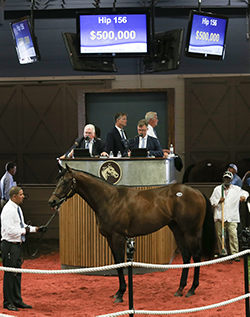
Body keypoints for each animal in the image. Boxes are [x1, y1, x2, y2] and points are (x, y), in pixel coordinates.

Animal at [48, 165, 217, 302]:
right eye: (59, 181)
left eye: (65, 181)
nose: (52, 202)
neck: (110, 199)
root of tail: (196, 192)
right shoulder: (110, 238)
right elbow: (117, 263)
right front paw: (118, 292)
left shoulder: (118, 237)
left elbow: (120, 262)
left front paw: (121, 294)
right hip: (177, 230)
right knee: (186, 256)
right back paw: (180, 289)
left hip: (190, 232)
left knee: (196, 256)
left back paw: (192, 289)